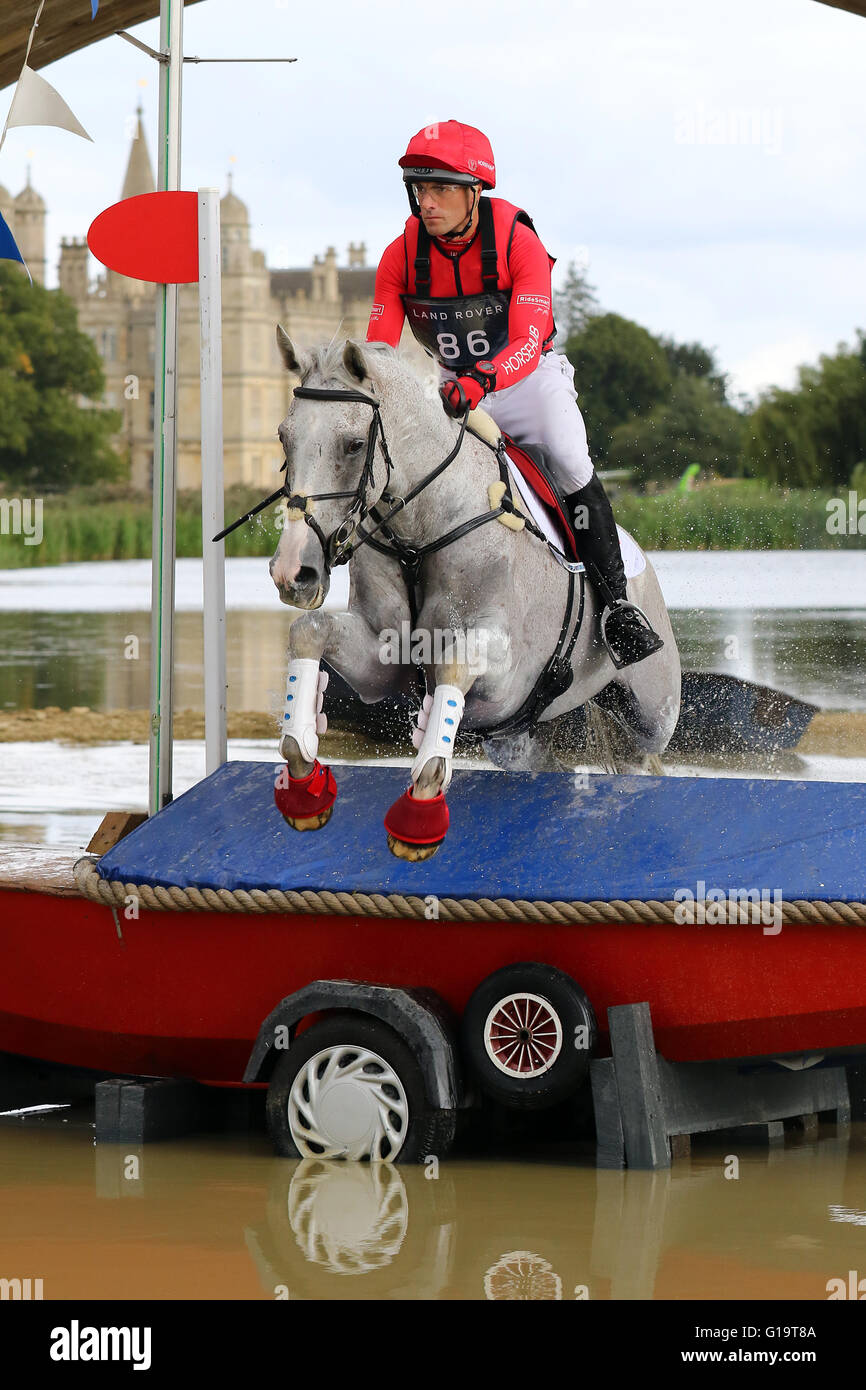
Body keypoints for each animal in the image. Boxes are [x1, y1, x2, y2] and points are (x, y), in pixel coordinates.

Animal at [268, 336, 681, 856]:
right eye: (284, 438)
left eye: (354, 444)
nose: (292, 573)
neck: (420, 529)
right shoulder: (381, 659)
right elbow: (310, 629)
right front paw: (302, 765)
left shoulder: (509, 673)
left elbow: (453, 662)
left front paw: (422, 799)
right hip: (518, 739)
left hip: (652, 712)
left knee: (642, 758)